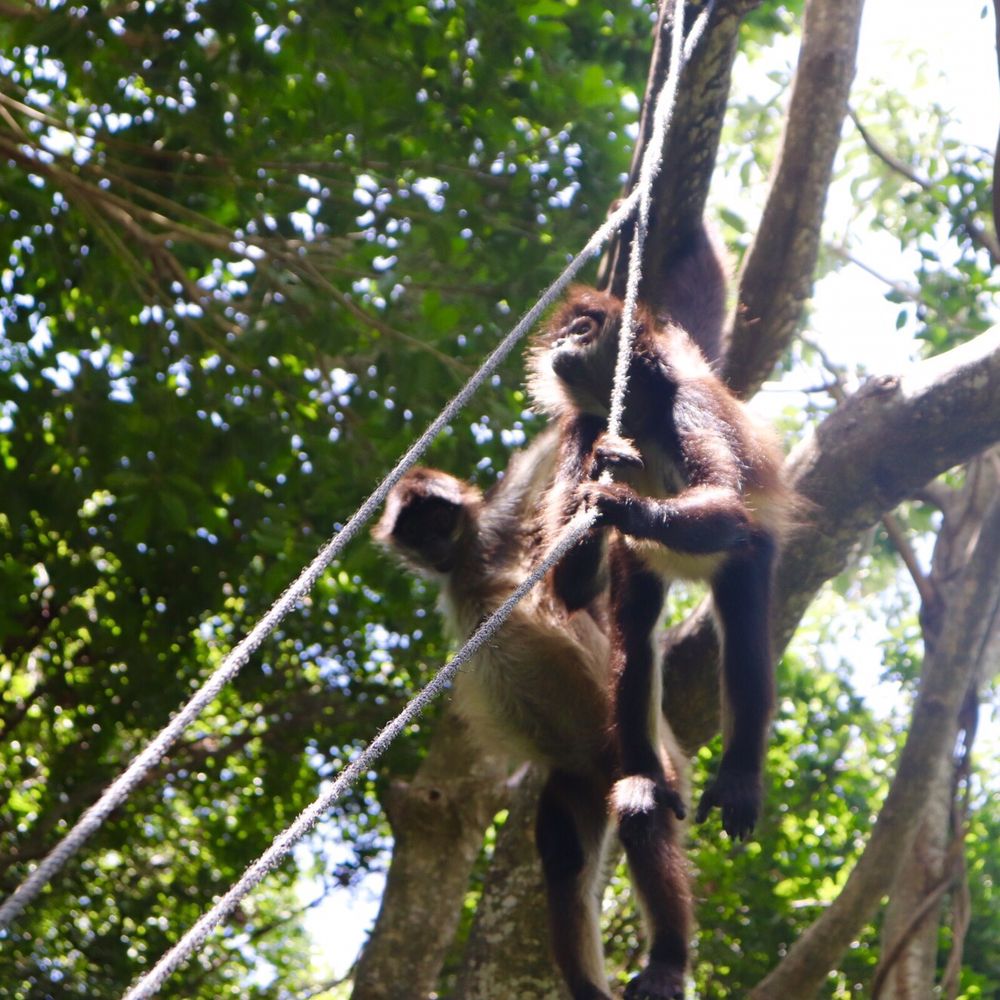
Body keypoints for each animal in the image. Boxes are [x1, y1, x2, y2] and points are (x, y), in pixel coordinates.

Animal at [374, 425, 691, 1000]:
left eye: (439, 520)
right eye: (416, 531)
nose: (433, 545)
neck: (468, 565)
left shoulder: (504, 523)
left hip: (647, 755)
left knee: (645, 809)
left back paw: (668, 963)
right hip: (580, 779)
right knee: (565, 859)